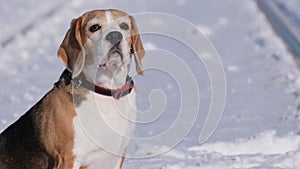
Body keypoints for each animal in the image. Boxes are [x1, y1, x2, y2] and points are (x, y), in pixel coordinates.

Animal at [0, 9, 145, 169]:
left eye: (124, 26)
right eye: (94, 27)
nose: (115, 35)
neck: (106, 91)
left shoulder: (118, 155)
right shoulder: (68, 159)